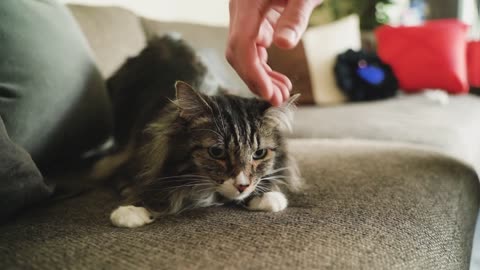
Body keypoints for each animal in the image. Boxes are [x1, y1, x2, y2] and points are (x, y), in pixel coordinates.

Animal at [94, 35, 302, 228]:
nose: (242, 186)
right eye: (217, 152)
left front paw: (268, 196)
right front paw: (132, 209)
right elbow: (139, 179)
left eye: (259, 153)